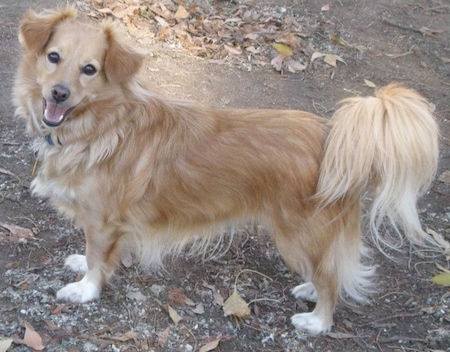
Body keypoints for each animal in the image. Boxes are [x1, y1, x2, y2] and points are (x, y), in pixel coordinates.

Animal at [14, 6, 440, 334]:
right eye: (53, 57)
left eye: (89, 69)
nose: (59, 94)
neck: (102, 126)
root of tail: (330, 135)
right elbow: (93, 254)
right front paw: (81, 264)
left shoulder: (103, 223)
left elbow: (98, 258)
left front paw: (85, 289)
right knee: (326, 269)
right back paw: (309, 290)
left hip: (298, 234)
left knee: (331, 279)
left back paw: (318, 321)